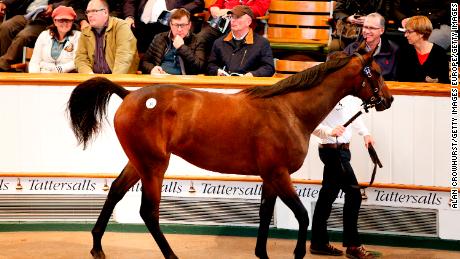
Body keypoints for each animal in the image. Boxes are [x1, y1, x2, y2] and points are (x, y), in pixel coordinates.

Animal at [67, 48, 392, 259]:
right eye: (375, 73)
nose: (388, 100)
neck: (289, 110)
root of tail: (130, 95)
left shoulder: (270, 176)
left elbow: (265, 213)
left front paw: (262, 253)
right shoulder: (279, 174)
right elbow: (302, 215)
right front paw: (299, 253)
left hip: (139, 163)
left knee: (115, 192)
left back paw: (97, 247)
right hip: (154, 166)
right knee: (149, 211)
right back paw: (170, 255)